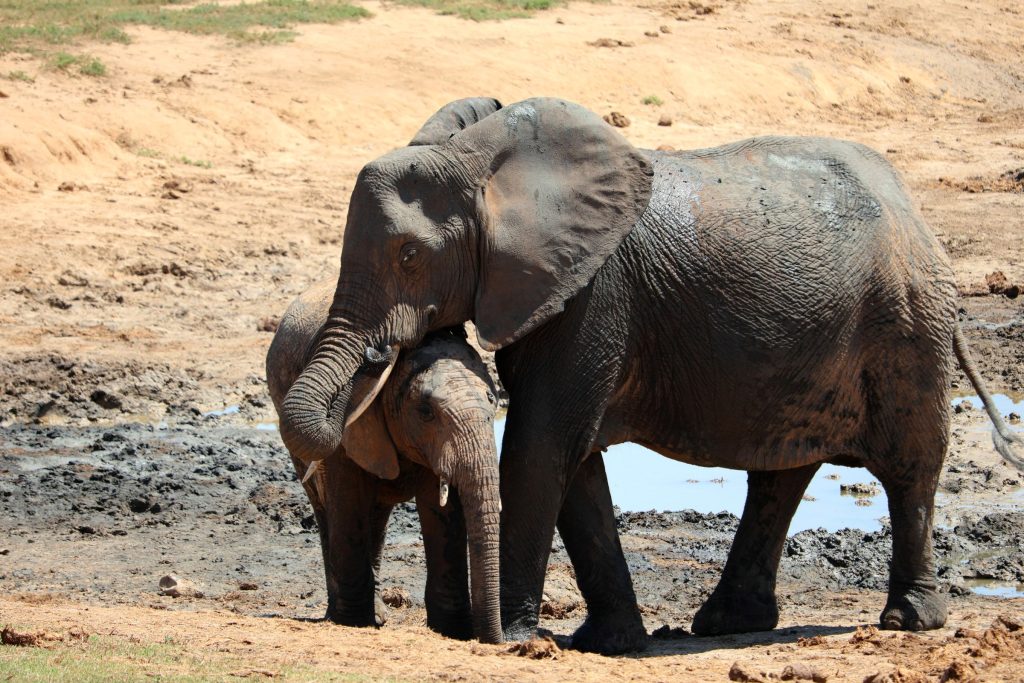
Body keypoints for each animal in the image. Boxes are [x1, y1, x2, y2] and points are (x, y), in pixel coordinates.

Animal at [266, 280, 502, 643]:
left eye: (493, 400)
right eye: (425, 411)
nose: (375, 355)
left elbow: (441, 510)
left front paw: (452, 630)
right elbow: (348, 501)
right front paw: (352, 622)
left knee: (376, 515)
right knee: (327, 509)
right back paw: (347, 613)